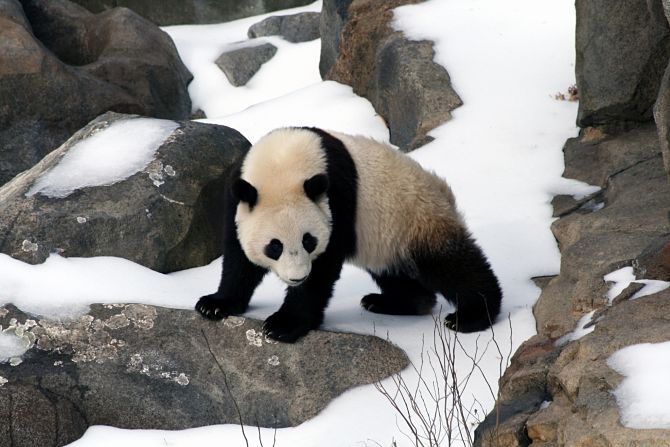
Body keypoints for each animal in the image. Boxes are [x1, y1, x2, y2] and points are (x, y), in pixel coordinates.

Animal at [197, 126, 502, 344]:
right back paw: (391, 302)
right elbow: (238, 258)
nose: (297, 277)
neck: (283, 162)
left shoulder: (337, 199)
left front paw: (283, 325)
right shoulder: (237, 196)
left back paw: (470, 316)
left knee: (452, 267)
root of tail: (442, 191)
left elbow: (322, 270)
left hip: (416, 219)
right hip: (387, 239)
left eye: (308, 240)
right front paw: (214, 305)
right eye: (274, 246)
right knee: (396, 273)